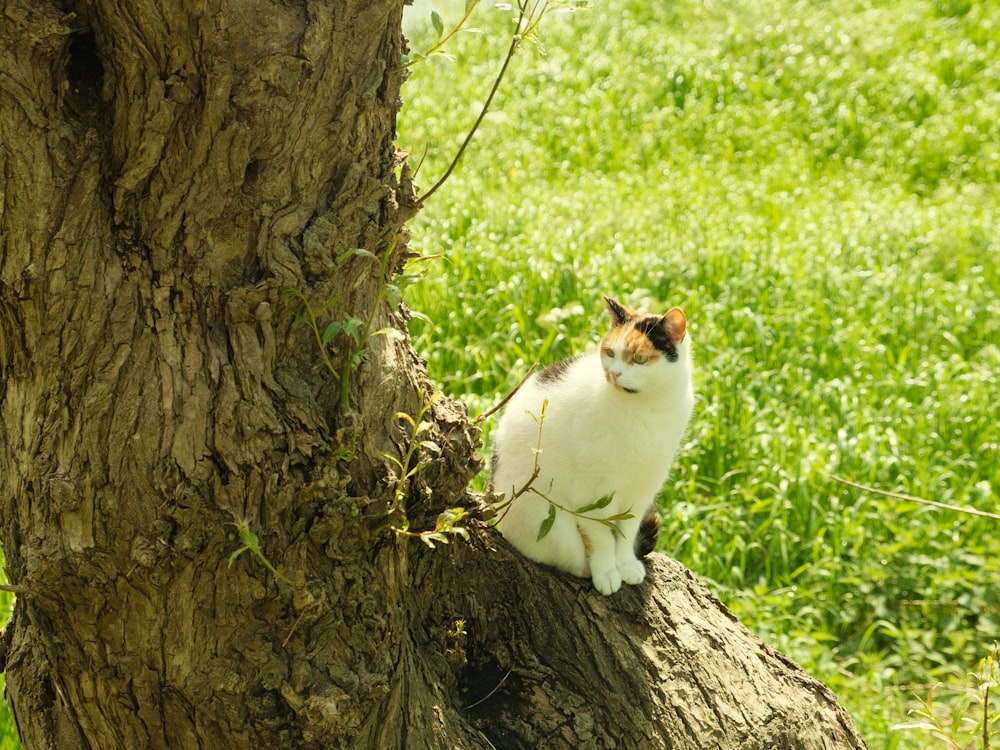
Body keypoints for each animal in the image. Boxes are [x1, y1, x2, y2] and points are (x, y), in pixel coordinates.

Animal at [488, 296, 692, 596]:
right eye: (609, 353)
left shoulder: (644, 486)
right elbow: (601, 536)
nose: (615, 374)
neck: (647, 408)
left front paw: (626, 564)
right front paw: (607, 572)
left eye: (639, 358)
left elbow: (627, 530)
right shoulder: (590, 492)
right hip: (548, 521)